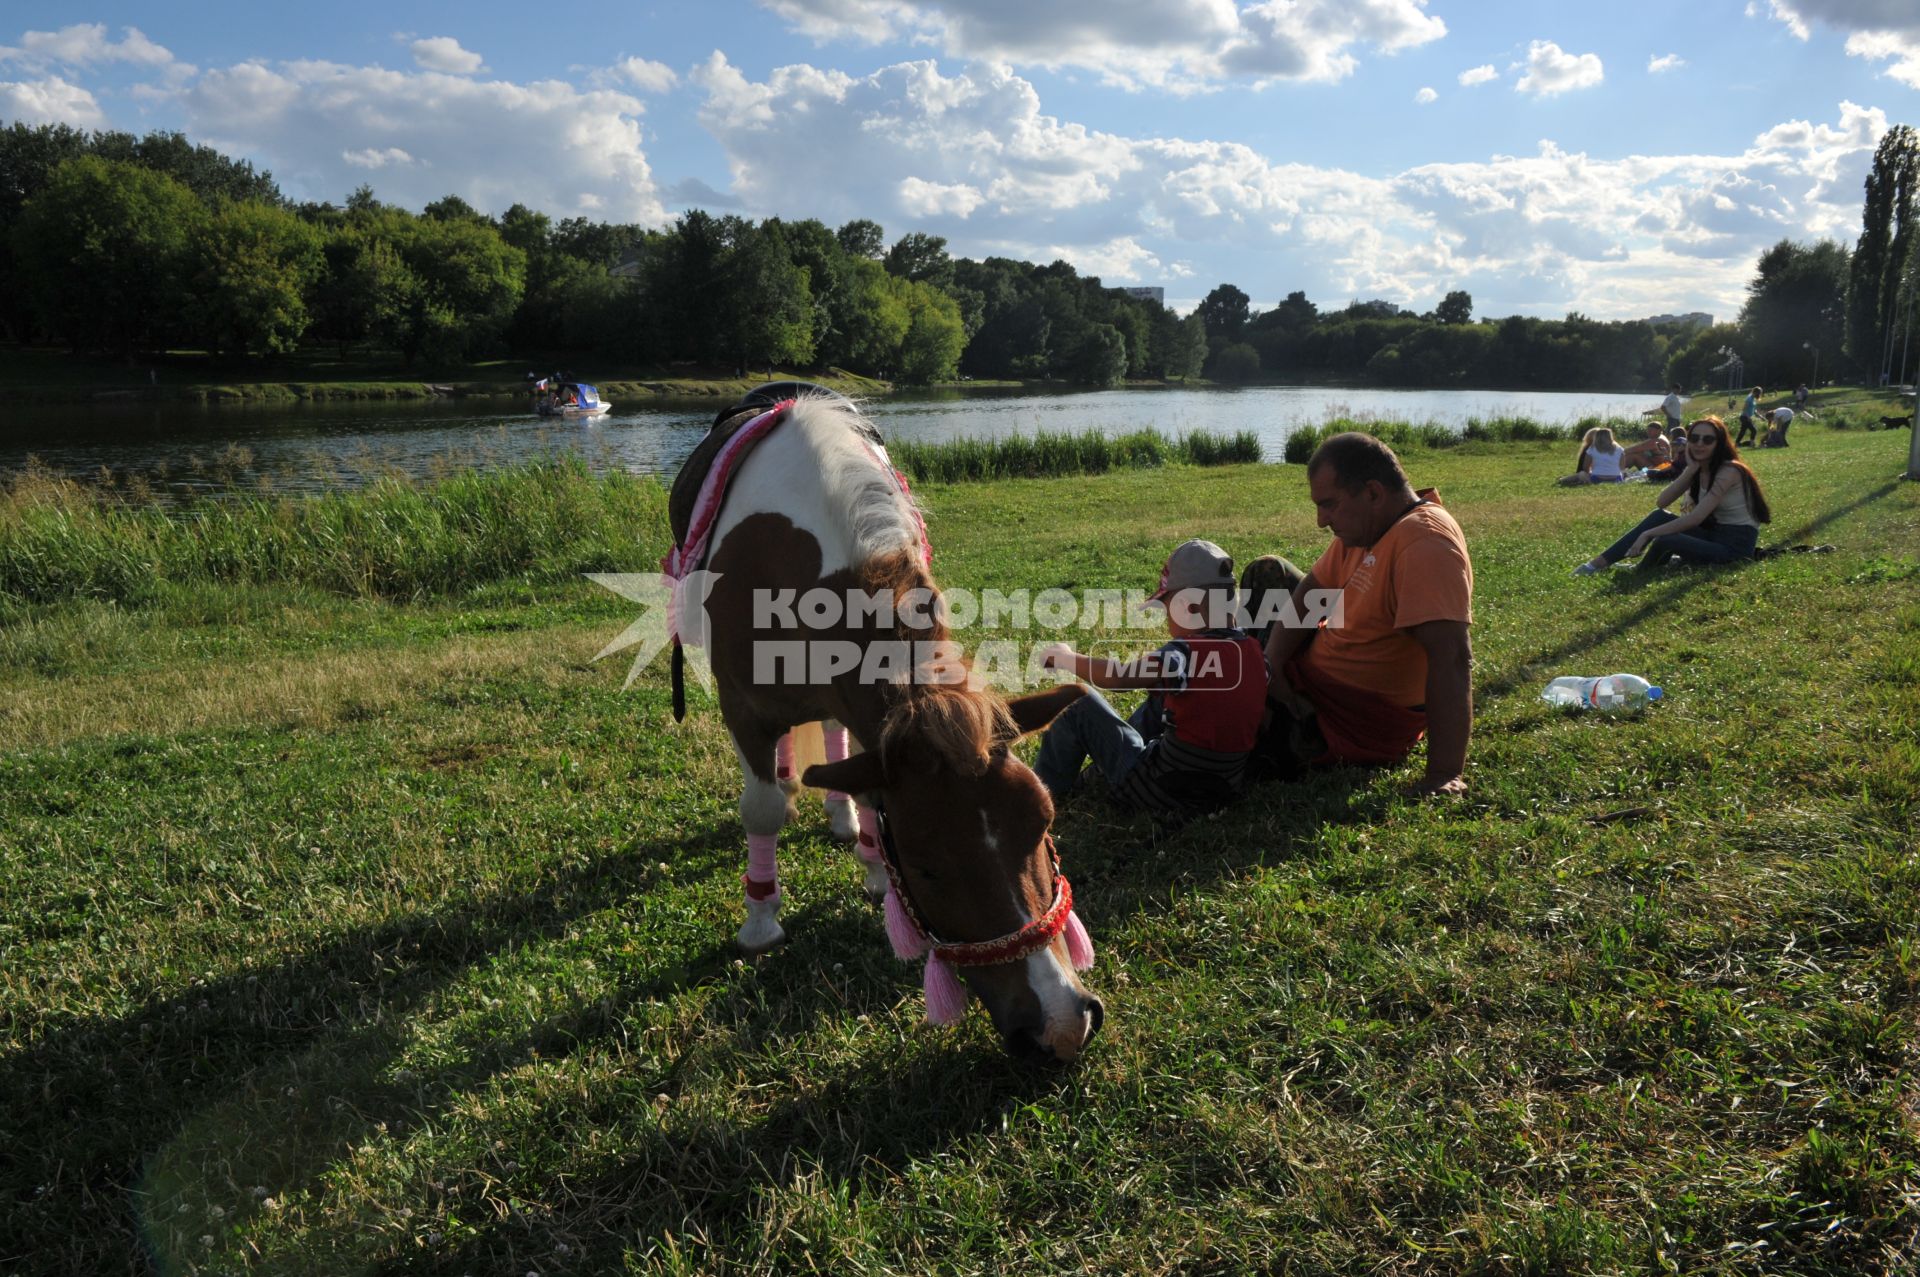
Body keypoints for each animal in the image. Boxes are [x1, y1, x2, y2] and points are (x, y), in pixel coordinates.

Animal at [672, 385, 1098, 1052]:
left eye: (1044, 822)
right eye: (926, 866)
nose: (1060, 1026)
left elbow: (866, 782)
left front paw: (872, 863)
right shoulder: (742, 705)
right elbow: (762, 809)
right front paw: (761, 920)